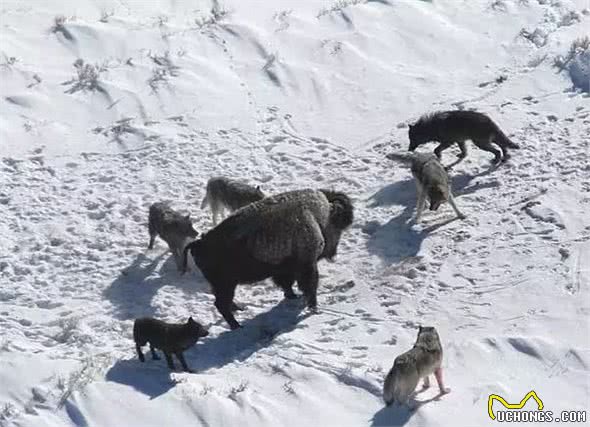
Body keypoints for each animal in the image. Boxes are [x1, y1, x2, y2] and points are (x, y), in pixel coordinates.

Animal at [183, 190, 354, 332]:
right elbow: (309, 286)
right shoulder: (307, 265)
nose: (333, 254)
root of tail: (199, 243)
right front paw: (313, 308)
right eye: (338, 227)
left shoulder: (285, 269)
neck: (318, 216)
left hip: (224, 285)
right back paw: (237, 326)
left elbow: (287, 284)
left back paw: (239, 311)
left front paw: (293, 296)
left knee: (225, 303)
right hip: (225, 285)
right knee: (221, 304)